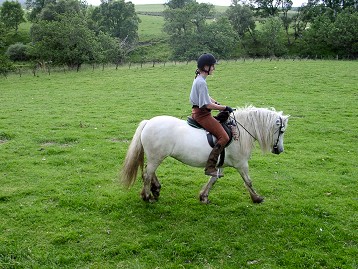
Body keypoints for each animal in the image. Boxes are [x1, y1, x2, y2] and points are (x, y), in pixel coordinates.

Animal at [121, 105, 290, 202]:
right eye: (281, 131)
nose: (280, 150)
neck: (240, 131)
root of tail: (149, 122)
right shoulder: (241, 164)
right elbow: (248, 181)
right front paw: (256, 198)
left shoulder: (219, 163)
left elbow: (213, 180)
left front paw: (203, 196)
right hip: (156, 156)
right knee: (147, 174)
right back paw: (147, 196)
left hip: (156, 156)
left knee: (149, 172)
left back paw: (155, 189)